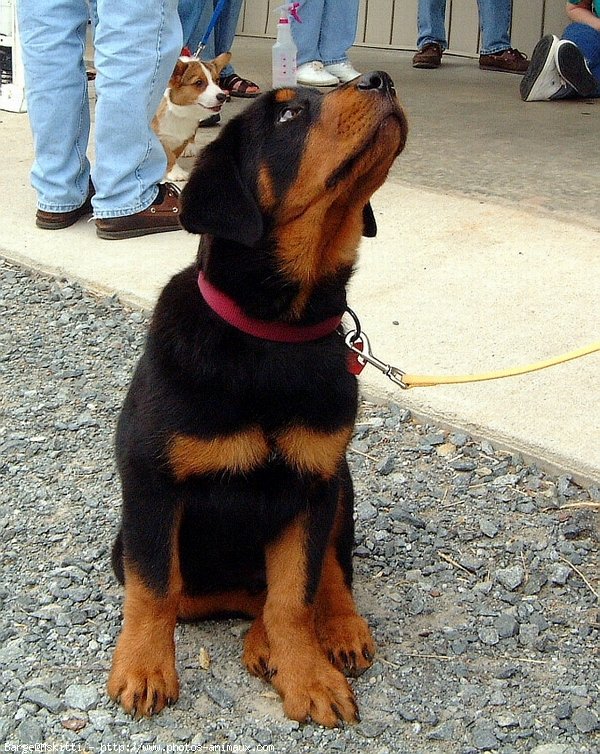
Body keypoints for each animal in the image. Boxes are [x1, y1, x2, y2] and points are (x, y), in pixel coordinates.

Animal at [108, 70, 408, 724]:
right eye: (289, 116)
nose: (382, 79)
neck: (276, 333)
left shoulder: (311, 483)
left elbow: (297, 594)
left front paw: (309, 676)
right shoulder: (151, 482)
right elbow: (154, 587)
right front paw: (142, 669)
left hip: (341, 485)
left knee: (323, 575)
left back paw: (336, 628)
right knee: (221, 593)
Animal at [152, 52, 232, 181]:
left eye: (217, 81)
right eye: (198, 82)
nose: (222, 96)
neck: (180, 112)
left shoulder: (185, 134)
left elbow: (174, 153)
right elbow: (168, 154)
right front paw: (176, 172)